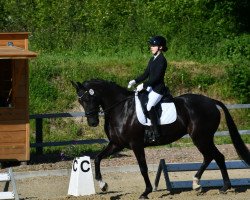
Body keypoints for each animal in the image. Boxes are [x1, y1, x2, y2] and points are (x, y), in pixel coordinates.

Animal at [71, 79, 250, 199]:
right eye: (80, 100)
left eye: (88, 98)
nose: (92, 122)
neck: (120, 108)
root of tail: (210, 101)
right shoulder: (117, 144)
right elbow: (97, 158)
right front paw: (103, 185)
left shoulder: (136, 144)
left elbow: (143, 168)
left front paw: (146, 192)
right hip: (203, 138)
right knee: (210, 157)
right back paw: (196, 184)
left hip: (201, 138)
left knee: (217, 156)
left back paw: (224, 187)